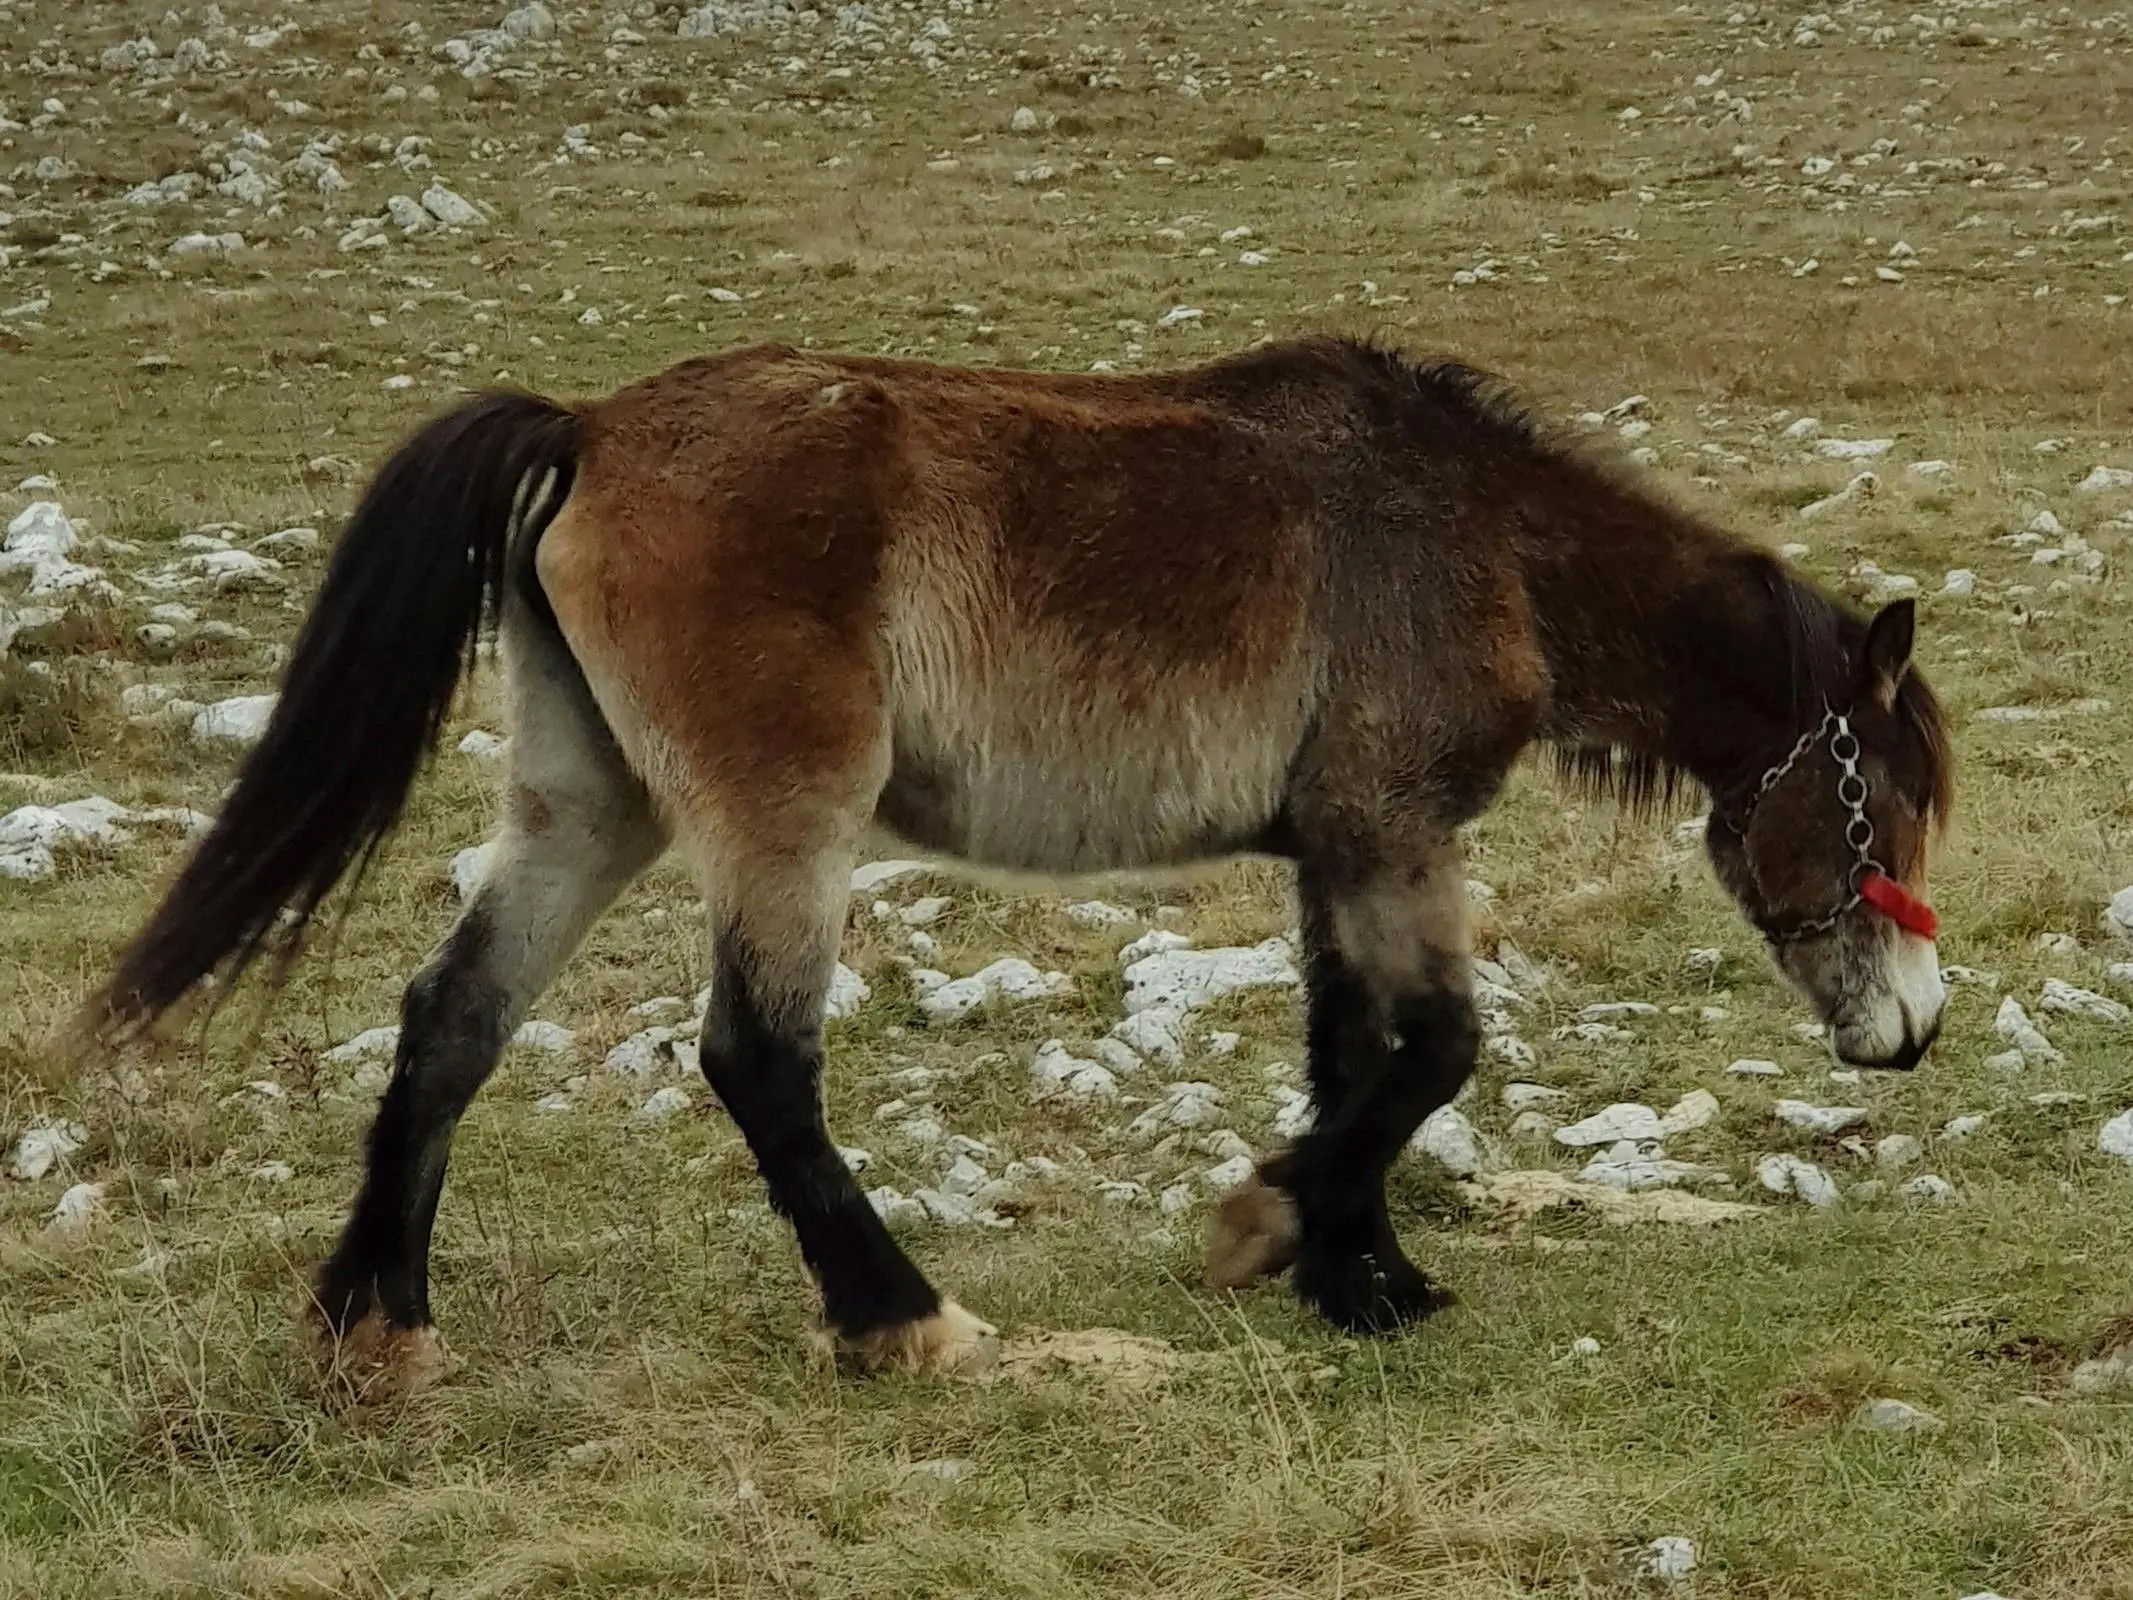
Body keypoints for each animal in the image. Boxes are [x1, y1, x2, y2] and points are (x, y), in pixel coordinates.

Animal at [78, 334, 1953, 1390]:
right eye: (1887, 799)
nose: (1914, 1030)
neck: (1474, 542)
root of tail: (591, 428)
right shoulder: (1393, 832)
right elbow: (1430, 1052)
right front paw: (1270, 1230)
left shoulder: (1336, 848)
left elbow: (1351, 1054)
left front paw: (1362, 1281)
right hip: (785, 825)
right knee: (757, 1059)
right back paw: (899, 1321)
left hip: (588, 807)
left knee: (452, 1020)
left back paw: (376, 1320)